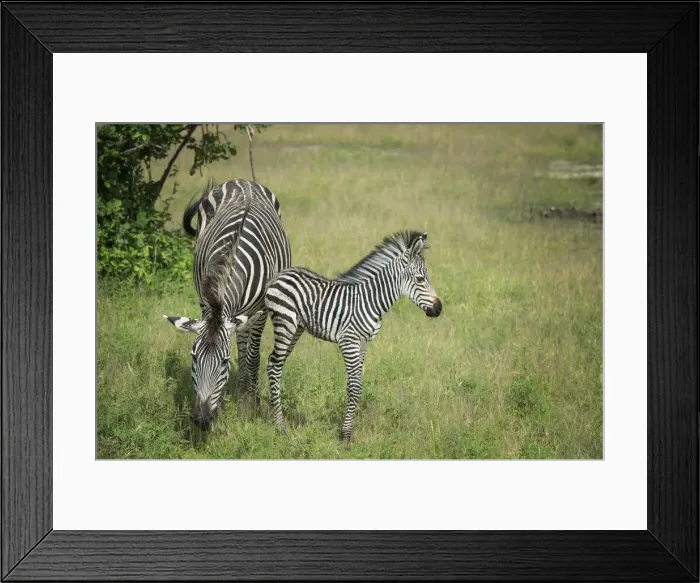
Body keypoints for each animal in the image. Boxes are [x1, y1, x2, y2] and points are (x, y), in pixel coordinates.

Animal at [163, 179, 292, 430]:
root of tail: (243, 181)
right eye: (193, 357)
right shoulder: (207, 303)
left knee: (248, 350)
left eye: (224, 363)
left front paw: (250, 404)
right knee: (241, 345)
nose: (201, 420)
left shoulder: (260, 311)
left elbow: (253, 356)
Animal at [263, 230, 442, 443]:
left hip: (295, 328)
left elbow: (356, 385)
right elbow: (355, 388)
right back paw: (280, 426)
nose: (439, 309)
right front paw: (345, 436)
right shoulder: (349, 342)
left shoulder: (363, 344)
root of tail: (279, 275)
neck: (371, 301)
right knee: (274, 365)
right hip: (284, 323)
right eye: (420, 279)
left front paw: (348, 433)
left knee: (276, 363)